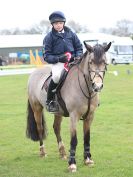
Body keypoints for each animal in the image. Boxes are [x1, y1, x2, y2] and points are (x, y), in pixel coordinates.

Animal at [25, 41, 111, 171]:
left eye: (104, 62)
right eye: (91, 62)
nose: (97, 86)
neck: (86, 89)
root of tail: (34, 73)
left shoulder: (90, 116)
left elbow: (87, 137)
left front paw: (88, 160)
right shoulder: (74, 116)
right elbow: (74, 139)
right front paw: (72, 164)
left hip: (58, 112)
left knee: (56, 128)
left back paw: (62, 153)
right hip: (37, 108)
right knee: (40, 128)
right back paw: (43, 152)